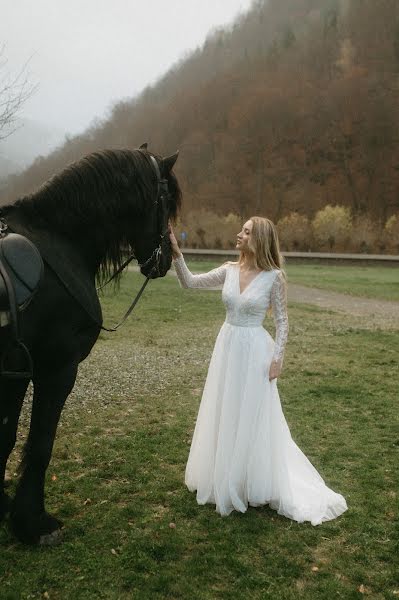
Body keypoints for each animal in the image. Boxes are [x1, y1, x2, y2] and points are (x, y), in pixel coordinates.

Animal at [0, 145, 181, 544]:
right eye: (166, 205)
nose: (164, 261)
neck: (58, 241)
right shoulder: (56, 368)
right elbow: (41, 443)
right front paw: (33, 522)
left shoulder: (18, 371)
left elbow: (6, 438)